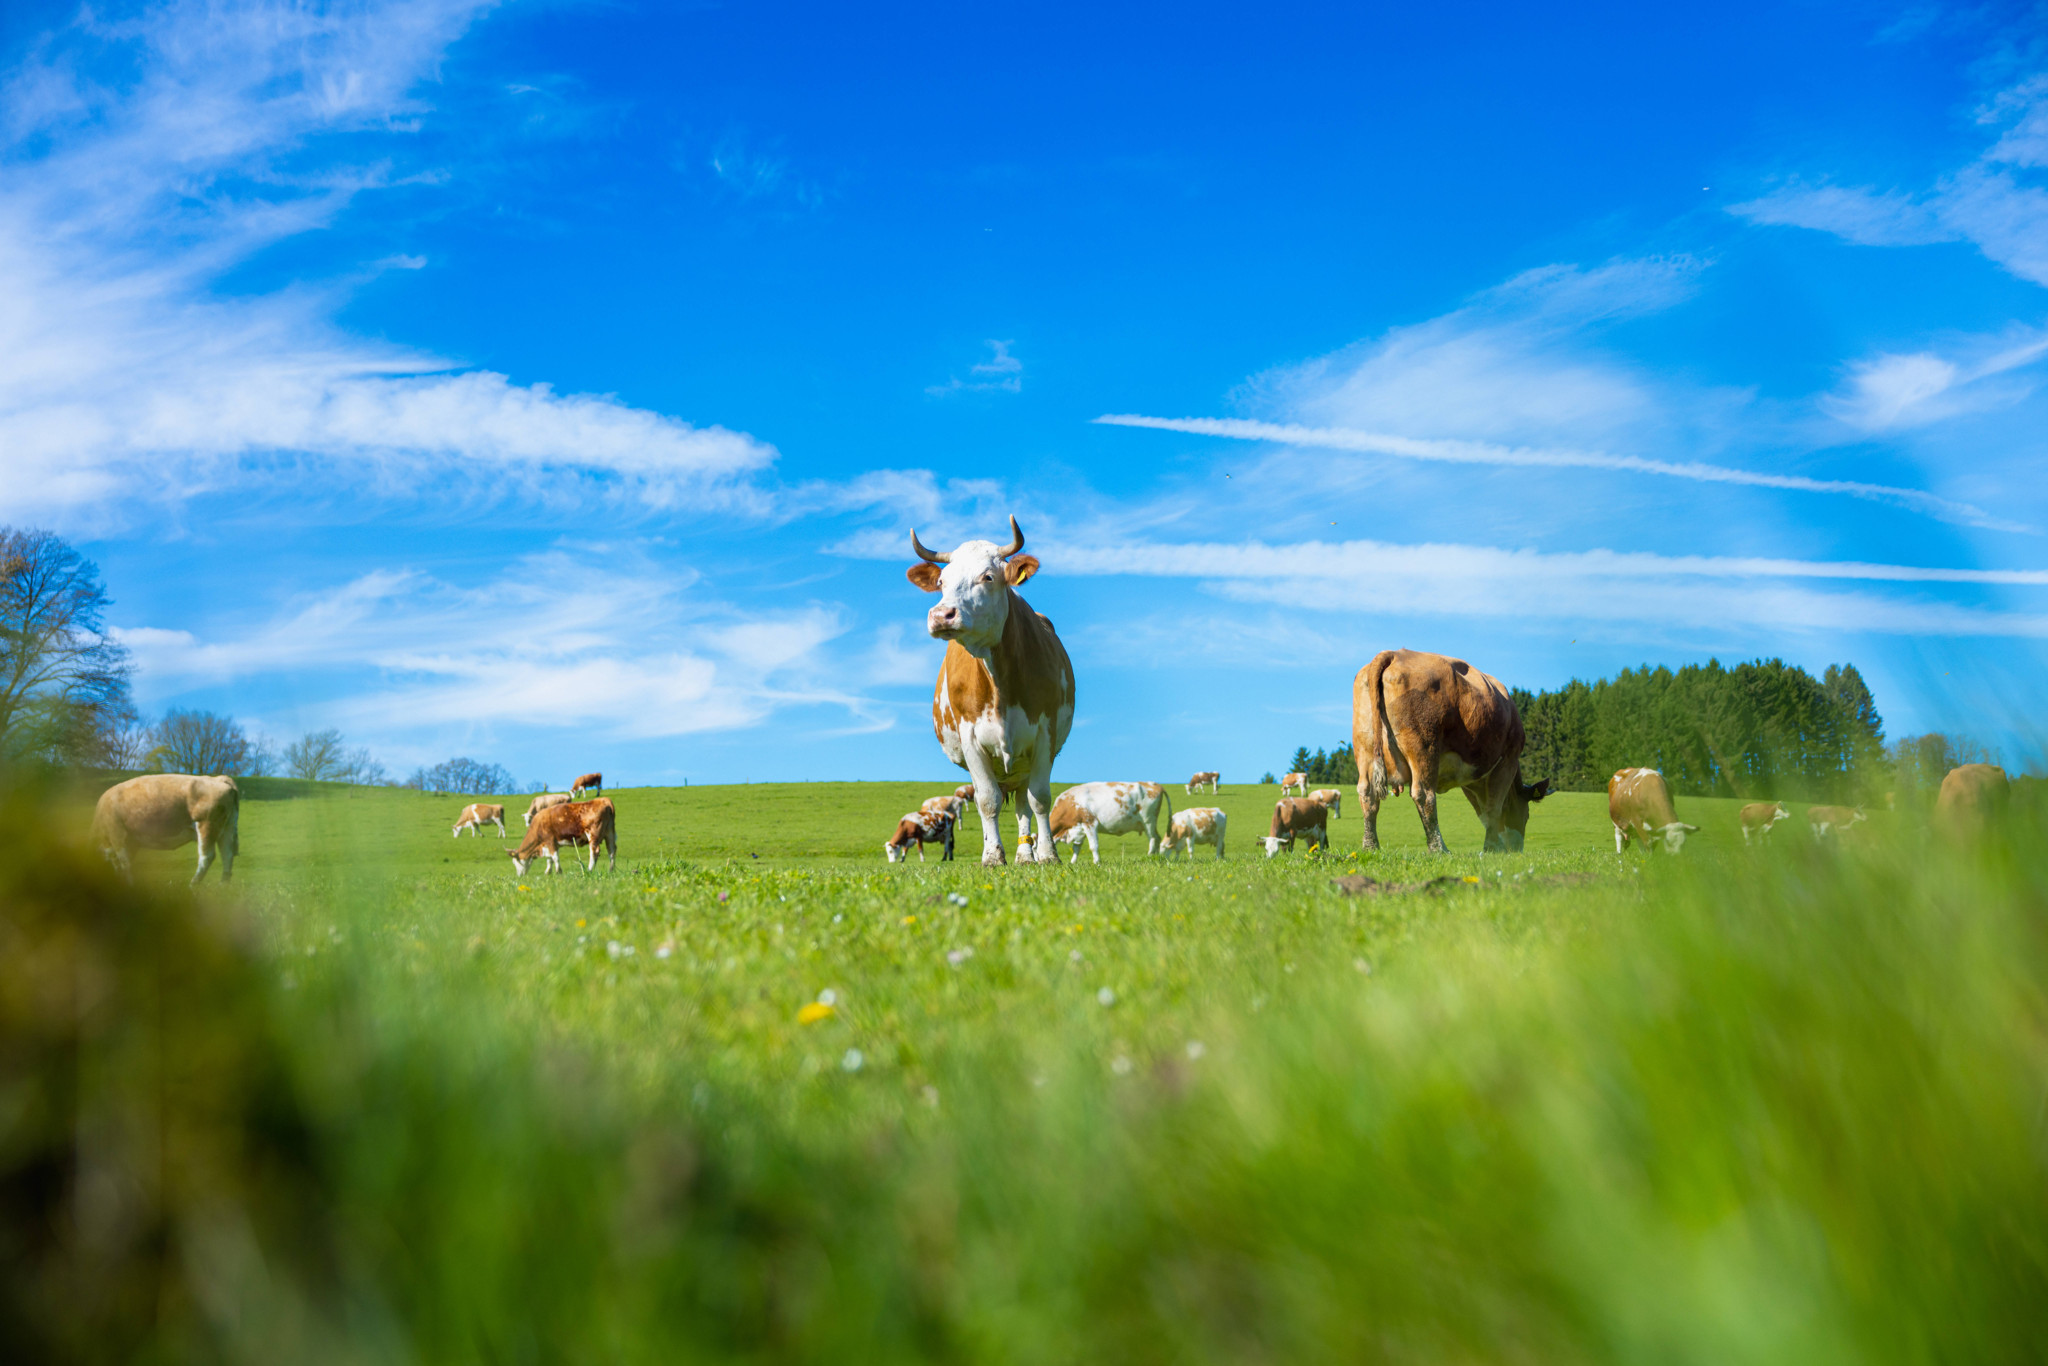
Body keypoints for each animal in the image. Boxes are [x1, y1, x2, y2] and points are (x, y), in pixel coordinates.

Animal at [91, 774, 241, 886]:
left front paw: (128, 885)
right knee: (227, 854)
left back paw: (193, 885)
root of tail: (217, 779)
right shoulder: (130, 843)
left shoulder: (117, 834)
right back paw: (223, 886)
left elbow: (124, 863)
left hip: (207, 824)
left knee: (207, 856)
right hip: (227, 828)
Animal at [907, 516, 1076, 866]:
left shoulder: (1044, 733)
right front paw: (992, 856)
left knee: (1025, 803)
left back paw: (1027, 854)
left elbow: (1040, 799)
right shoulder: (971, 738)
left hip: (1024, 762)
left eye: (987, 576)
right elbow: (987, 800)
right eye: (941, 580)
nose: (941, 615)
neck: (1000, 685)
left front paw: (1048, 855)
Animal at [1354, 649, 1552, 854]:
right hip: (1424, 747)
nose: (1516, 849)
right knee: (1424, 794)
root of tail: (1395, 653)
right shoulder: (1507, 761)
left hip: (1365, 748)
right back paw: (1439, 848)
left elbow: (1484, 813)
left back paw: (1370, 846)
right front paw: (1491, 848)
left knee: (1367, 794)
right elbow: (1493, 808)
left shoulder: (1471, 778)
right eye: (1526, 815)